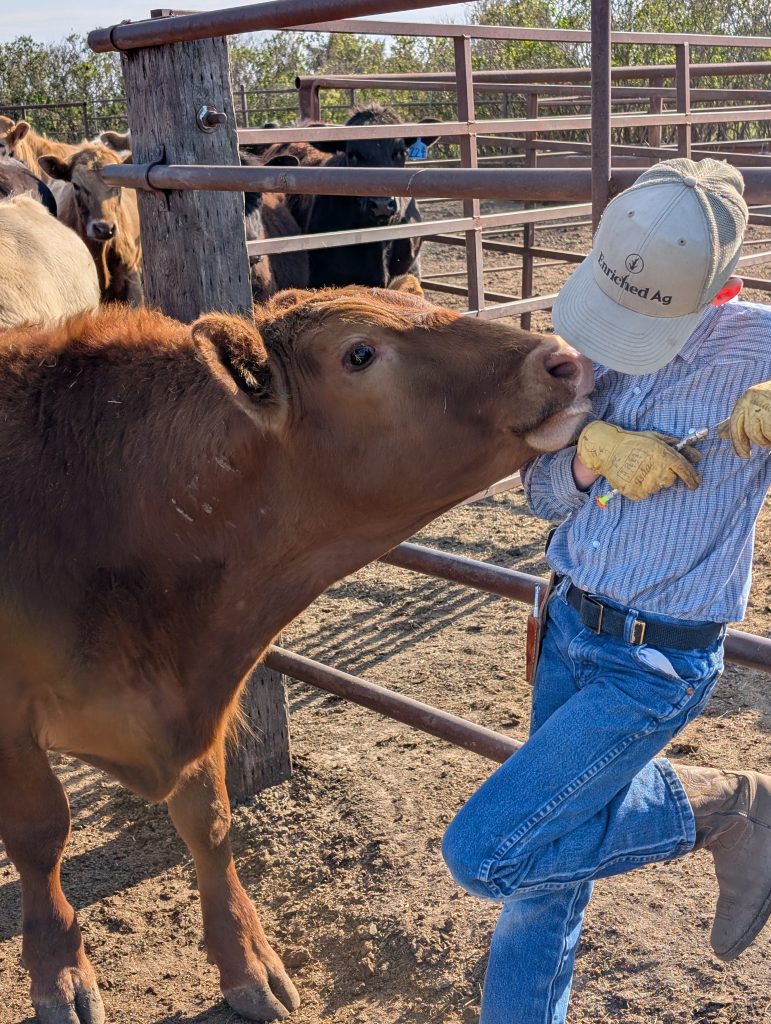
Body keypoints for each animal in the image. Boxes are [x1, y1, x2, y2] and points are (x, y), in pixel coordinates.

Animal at [0, 289, 593, 1024]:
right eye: (359, 352)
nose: (562, 359)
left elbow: (209, 818)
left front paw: (246, 957)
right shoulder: (12, 725)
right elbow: (39, 835)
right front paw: (59, 971)